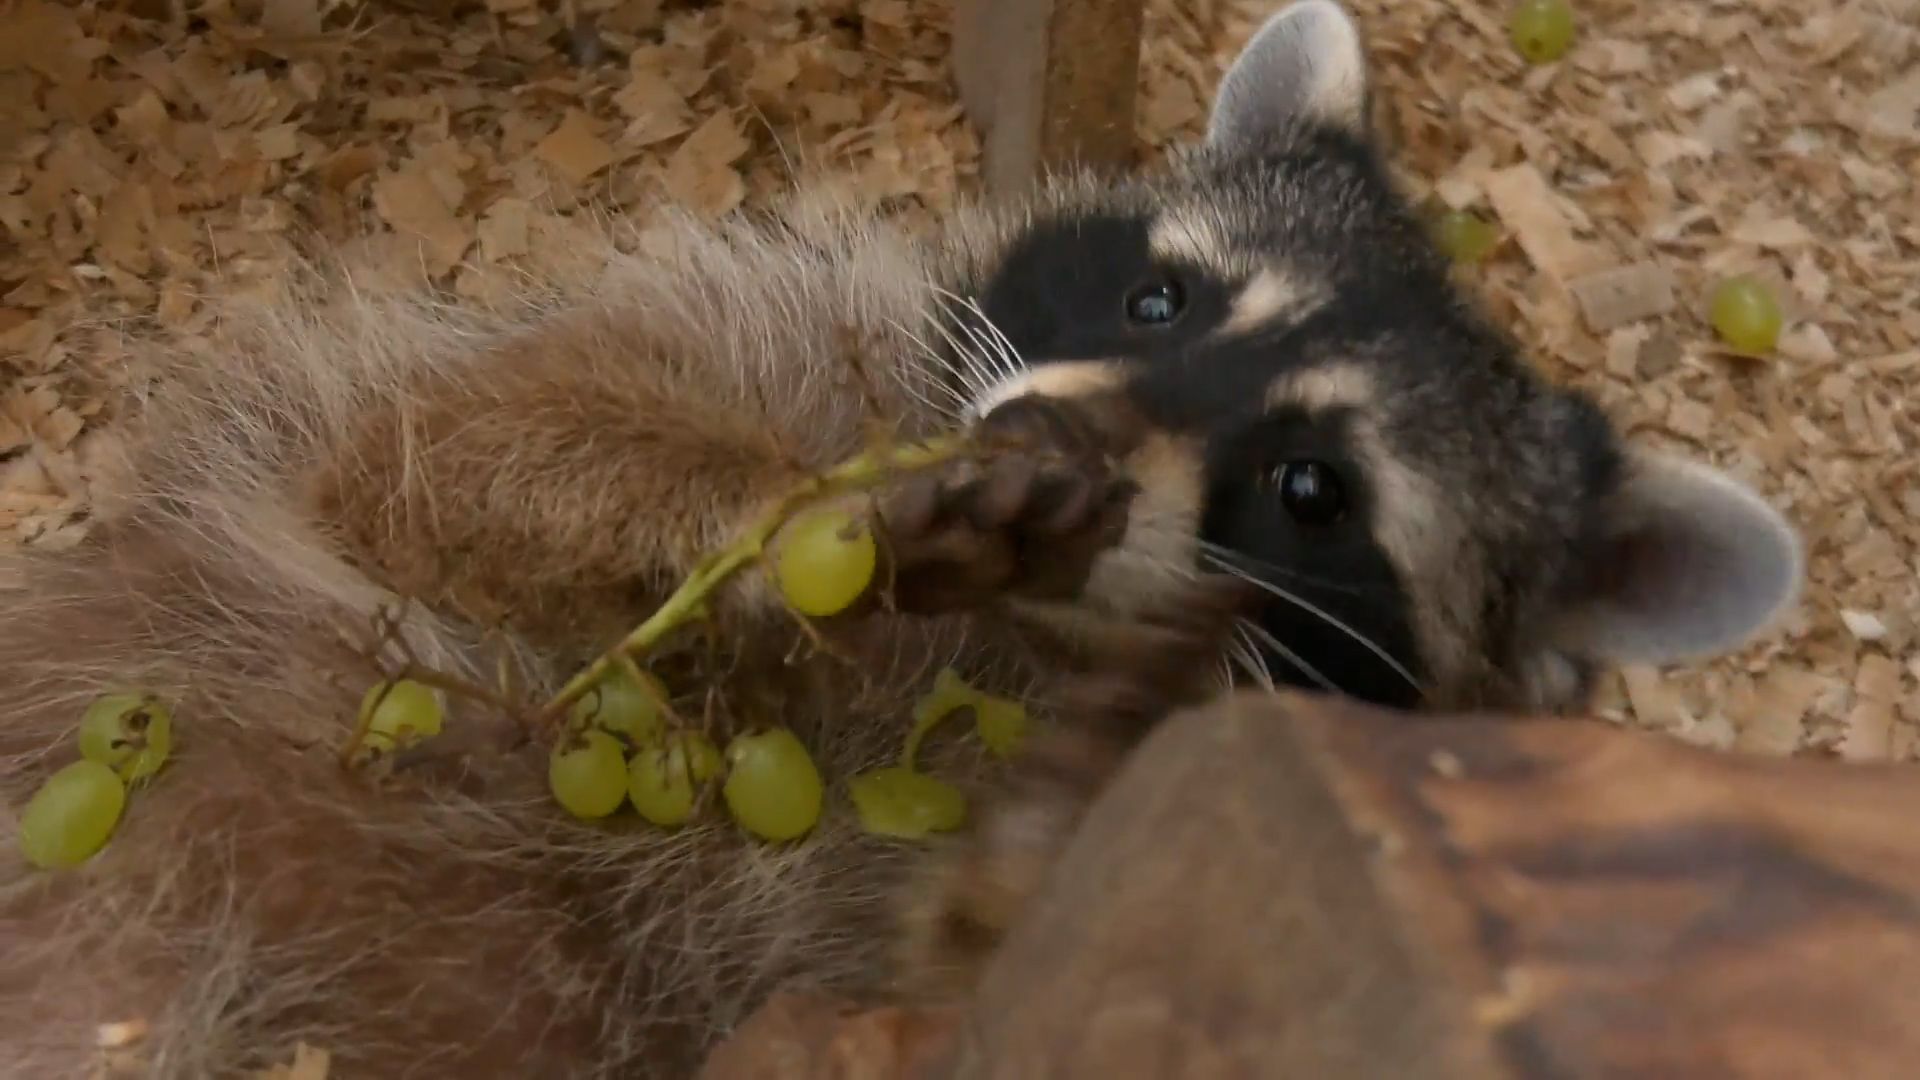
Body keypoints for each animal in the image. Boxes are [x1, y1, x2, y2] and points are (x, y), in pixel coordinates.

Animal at [3, 4, 1797, 1068]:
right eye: (1161, 297)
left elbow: (980, 996)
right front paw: (791, 512)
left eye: (1311, 492)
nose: (1042, 447)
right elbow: (444, 453)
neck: (1008, 626)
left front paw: (1051, 822)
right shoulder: (781, 337)